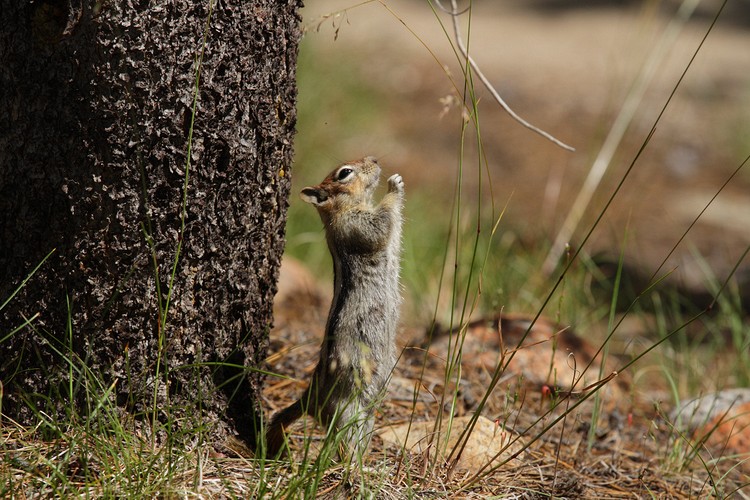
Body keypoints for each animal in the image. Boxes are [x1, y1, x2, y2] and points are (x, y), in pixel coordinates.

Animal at [265, 156, 404, 459]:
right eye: (344, 173)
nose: (375, 159)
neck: (342, 209)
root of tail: (310, 398)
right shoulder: (357, 225)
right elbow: (381, 225)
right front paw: (394, 186)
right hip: (348, 411)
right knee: (342, 441)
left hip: (365, 417)